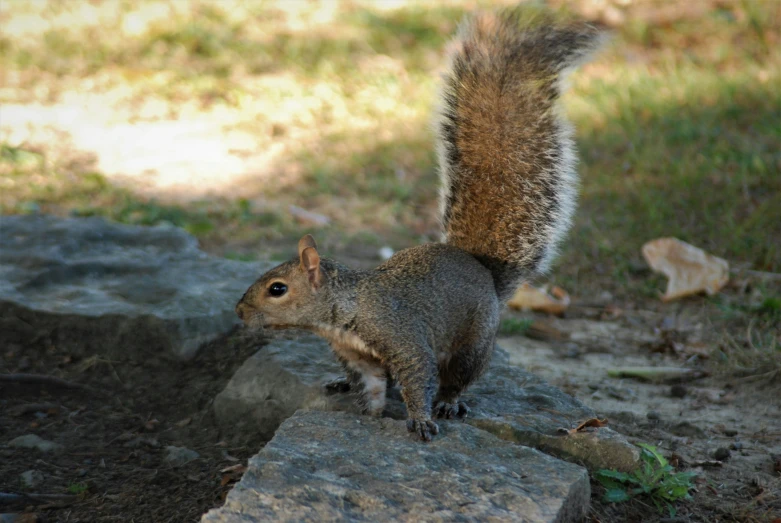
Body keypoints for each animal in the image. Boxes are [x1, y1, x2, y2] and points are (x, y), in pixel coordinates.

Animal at [235, 9, 600, 442]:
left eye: (277, 289)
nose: (239, 313)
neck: (347, 310)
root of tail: (481, 268)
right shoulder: (359, 359)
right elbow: (373, 387)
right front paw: (369, 415)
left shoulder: (404, 340)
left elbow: (417, 376)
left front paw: (421, 419)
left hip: (474, 342)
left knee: (459, 376)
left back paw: (449, 402)